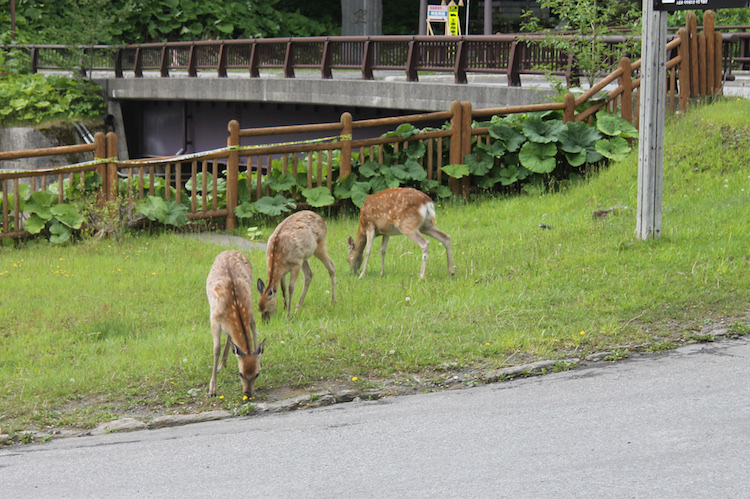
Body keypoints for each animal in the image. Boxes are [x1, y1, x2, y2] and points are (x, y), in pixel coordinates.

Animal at [207, 250, 266, 398]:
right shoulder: (214, 319)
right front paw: (212, 389)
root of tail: (230, 250)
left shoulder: (250, 309)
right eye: (240, 374)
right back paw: (221, 365)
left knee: (230, 335)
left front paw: (260, 361)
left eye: (257, 374)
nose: (248, 393)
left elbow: (254, 328)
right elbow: (216, 349)